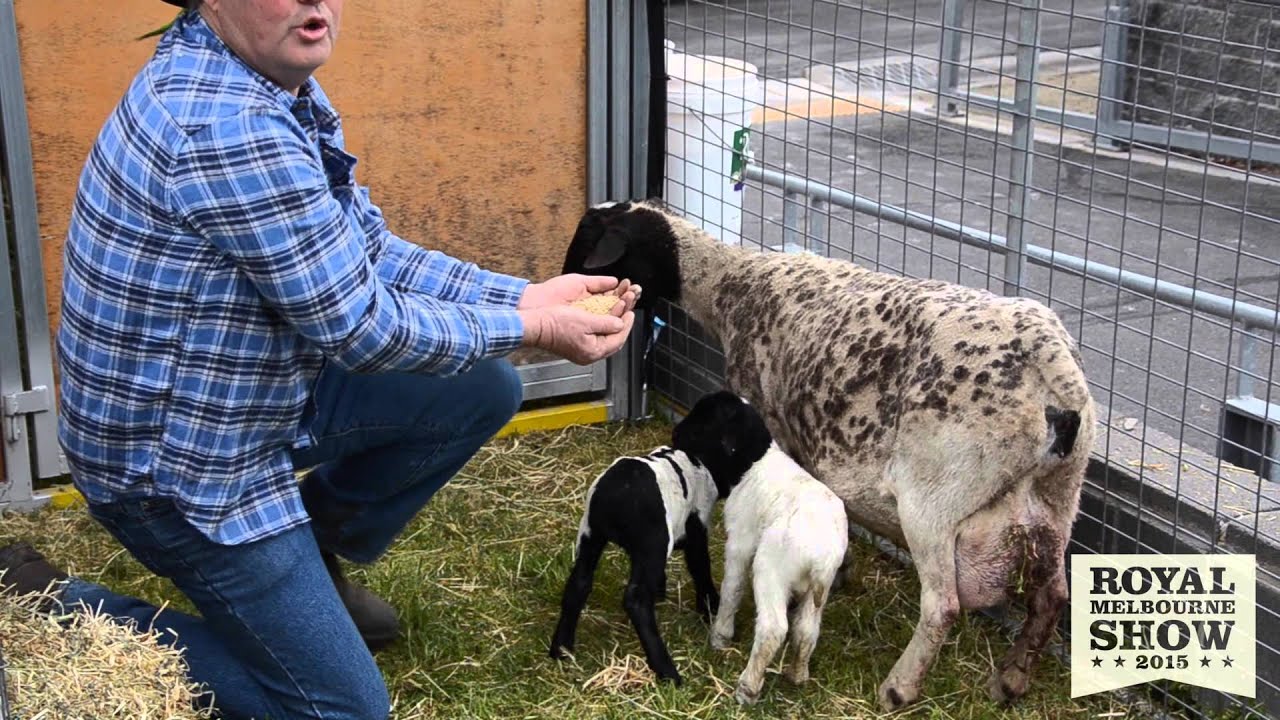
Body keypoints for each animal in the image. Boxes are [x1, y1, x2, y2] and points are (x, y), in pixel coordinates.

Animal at [548, 443, 723, 684]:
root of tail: (616, 496)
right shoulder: (696, 526)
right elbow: (700, 567)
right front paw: (710, 606)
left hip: (590, 533)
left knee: (579, 583)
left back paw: (561, 648)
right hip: (652, 541)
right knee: (636, 600)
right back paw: (667, 671)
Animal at [670, 390, 849, 706]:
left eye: (703, 419)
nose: (675, 434)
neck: (752, 464)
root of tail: (823, 557)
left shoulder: (740, 540)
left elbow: (732, 588)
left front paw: (720, 636)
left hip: (771, 569)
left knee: (773, 629)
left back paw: (748, 687)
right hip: (819, 590)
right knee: (806, 629)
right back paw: (797, 674)